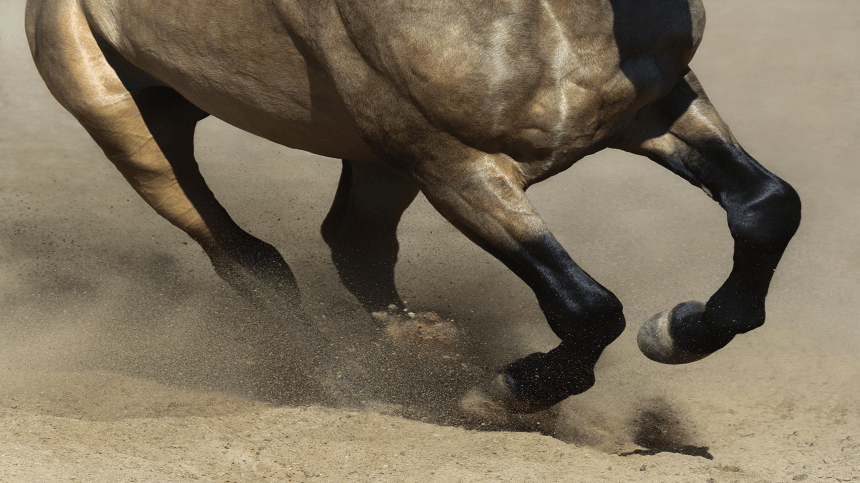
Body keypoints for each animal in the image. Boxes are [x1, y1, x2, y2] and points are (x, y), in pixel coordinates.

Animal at [25, 0, 800, 412]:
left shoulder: (657, 107)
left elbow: (768, 206)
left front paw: (680, 329)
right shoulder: (454, 166)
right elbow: (586, 307)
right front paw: (509, 389)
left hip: (375, 159)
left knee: (353, 243)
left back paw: (412, 344)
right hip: (132, 127)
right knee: (247, 257)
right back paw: (350, 384)